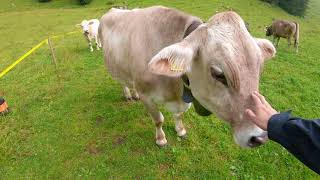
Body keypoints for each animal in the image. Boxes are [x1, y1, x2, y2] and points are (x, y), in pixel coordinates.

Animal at [99, 6, 276, 148]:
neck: (175, 90)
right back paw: (129, 94)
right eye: (218, 74)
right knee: (123, 82)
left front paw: (181, 130)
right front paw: (161, 139)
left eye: (259, 67)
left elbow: (179, 115)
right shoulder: (146, 96)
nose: (259, 138)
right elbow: (158, 120)